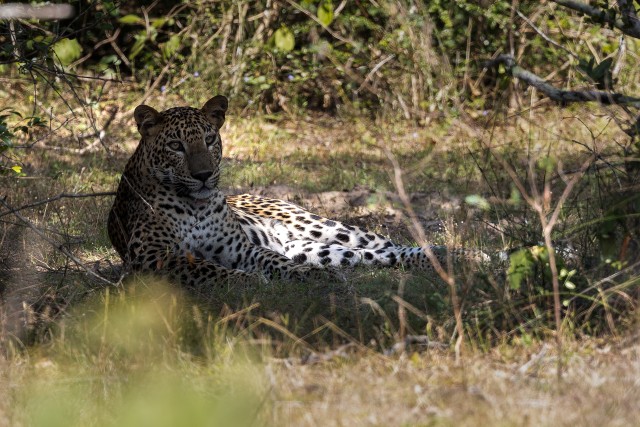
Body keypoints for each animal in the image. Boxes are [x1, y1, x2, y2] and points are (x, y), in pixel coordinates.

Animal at [108, 95, 484, 290]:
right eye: (176, 145)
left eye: (210, 139)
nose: (204, 176)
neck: (195, 206)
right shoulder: (153, 256)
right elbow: (207, 269)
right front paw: (248, 282)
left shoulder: (240, 247)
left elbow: (271, 260)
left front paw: (300, 275)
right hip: (317, 249)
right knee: (382, 256)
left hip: (326, 227)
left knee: (389, 244)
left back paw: (469, 255)